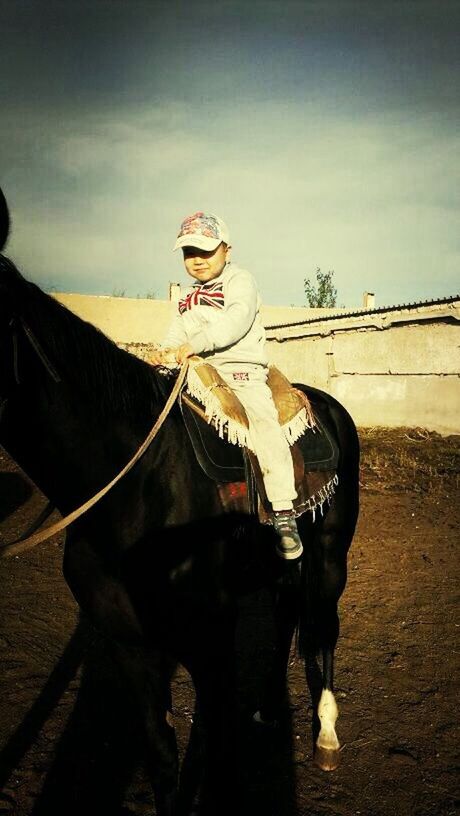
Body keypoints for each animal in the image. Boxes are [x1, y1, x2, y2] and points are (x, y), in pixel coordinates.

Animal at [0, 190, 360, 816]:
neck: (134, 491)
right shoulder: (130, 646)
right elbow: (162, 754)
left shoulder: (211, 644)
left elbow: (219, 758)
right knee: (287, 616)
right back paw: (269, 706)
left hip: (330, 558)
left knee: (323, 626)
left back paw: (327, 736)